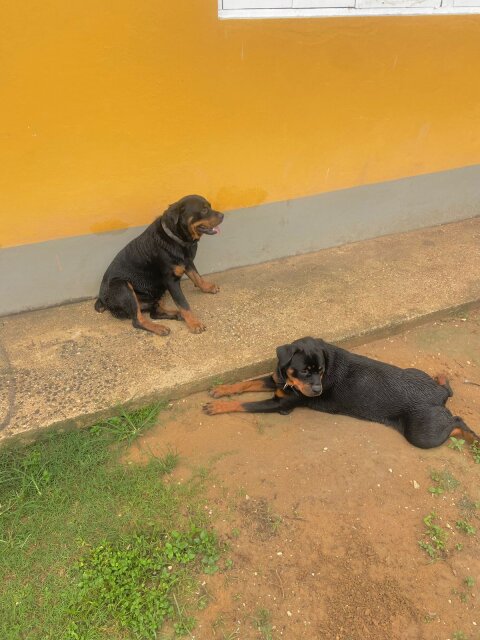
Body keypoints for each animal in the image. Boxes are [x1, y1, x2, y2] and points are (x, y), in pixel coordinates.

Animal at [94, 195, 224, 336]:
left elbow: (197, 276)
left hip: (159, 291)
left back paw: (175, 316)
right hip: (122, 285)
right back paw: (159, 327)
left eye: (210, 206)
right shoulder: (171, 280)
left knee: (154, 313)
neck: (176, 238)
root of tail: (102, 299)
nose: (222, 215)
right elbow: (183, 304)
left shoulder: (187, 262)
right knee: (138, 320)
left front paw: (208, 287)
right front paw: (194, 323)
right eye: (204, 209)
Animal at [203, 336, 480, 450]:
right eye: (305, 371)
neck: (289, 381)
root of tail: (436, 398)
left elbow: (245, 404)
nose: (317, 390)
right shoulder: (278, 381)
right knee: (448, 390)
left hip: (422, 433)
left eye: (321, 371)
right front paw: (221, 390)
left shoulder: (281, 403)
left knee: (456, 422)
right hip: (419, 375)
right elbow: (245, 384)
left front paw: (217, 408)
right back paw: (442, 378)